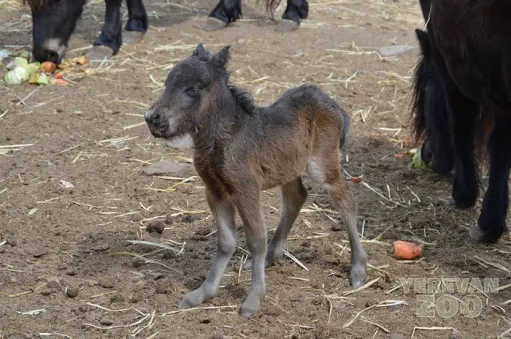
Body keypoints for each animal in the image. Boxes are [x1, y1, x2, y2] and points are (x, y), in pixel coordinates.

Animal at [144, 43, 368, 318]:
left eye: (193, 89)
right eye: (166, 84)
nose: (152, 117)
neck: (223, 138)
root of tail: (334, 104)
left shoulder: (246, 188)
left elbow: (256, 238)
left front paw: (253, 299)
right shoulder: (215, 191)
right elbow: (226, 242)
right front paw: (202, 293)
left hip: (320, 163)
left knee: (344, 199)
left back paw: (358, 268)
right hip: (288, 165)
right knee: (296, 197)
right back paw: (272, 256)